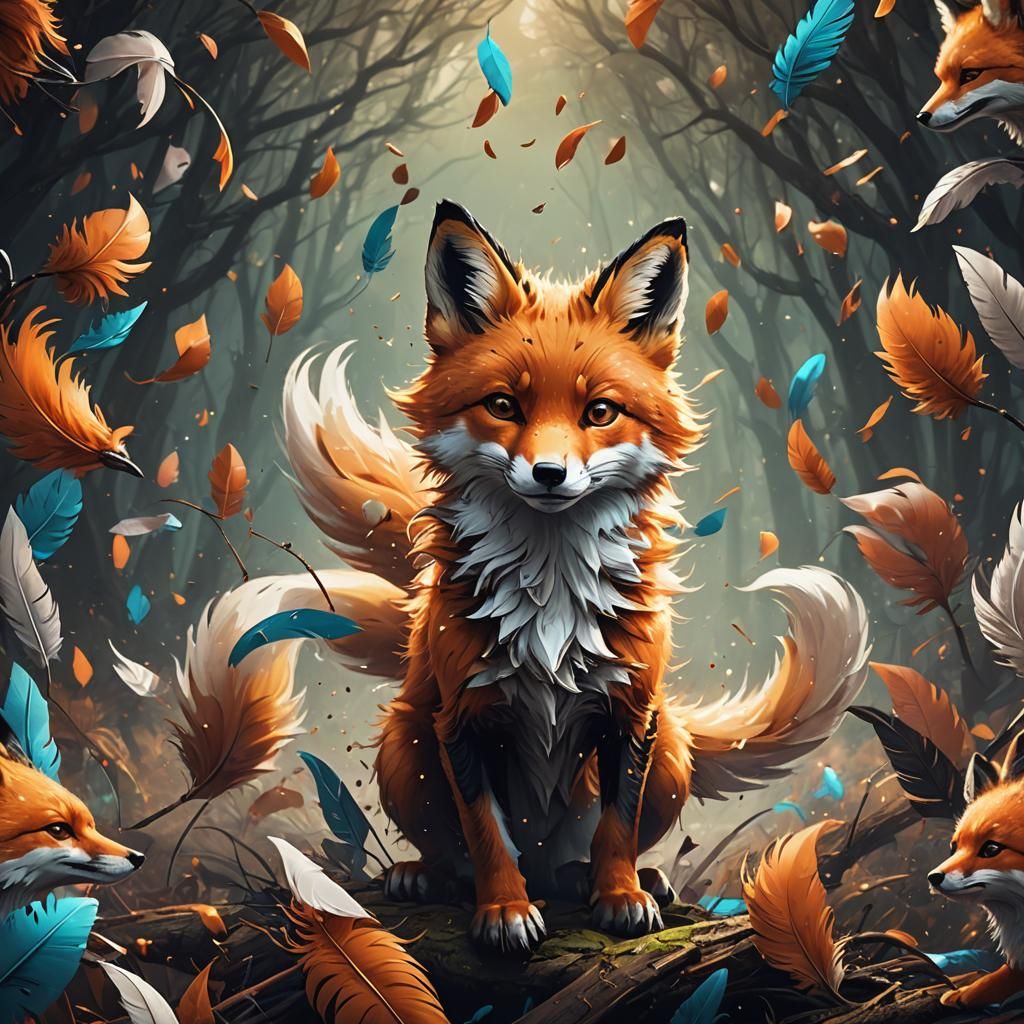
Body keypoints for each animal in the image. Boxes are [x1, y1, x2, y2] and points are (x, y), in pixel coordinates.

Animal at [201, 200, 871, 955]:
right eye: (503, 405)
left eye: (599, 412)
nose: (550, 474)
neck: (550, 594)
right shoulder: (462, 721)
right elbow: (487, 833)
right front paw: (503, 911)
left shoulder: (630, 715)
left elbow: (616, 825)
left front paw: (619, 897)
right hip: (405, 740)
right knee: (452, 850)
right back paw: (422, 875)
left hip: (670, 744)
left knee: (592, 847)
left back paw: (627, 880)